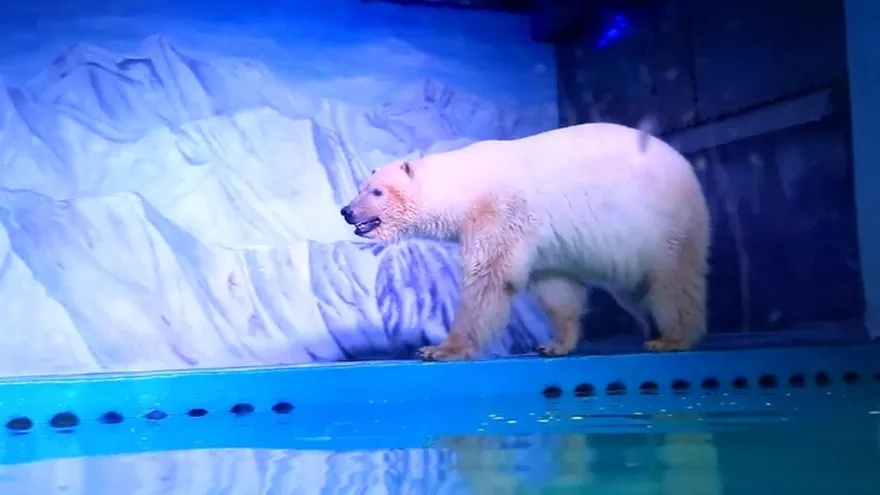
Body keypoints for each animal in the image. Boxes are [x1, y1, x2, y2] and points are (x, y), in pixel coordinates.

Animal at [340, 122, 711, 361]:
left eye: (377, 191)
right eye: (361, 186)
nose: (347, 211)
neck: (467, 185)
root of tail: (688, 167)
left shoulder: (498, 215)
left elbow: (486, 281)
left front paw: (442, 349)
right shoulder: (545, 247)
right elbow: (556, 289)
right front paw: (557, 344)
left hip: (662, 227)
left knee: (672, 282)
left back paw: (674, 337)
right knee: (635, 290)